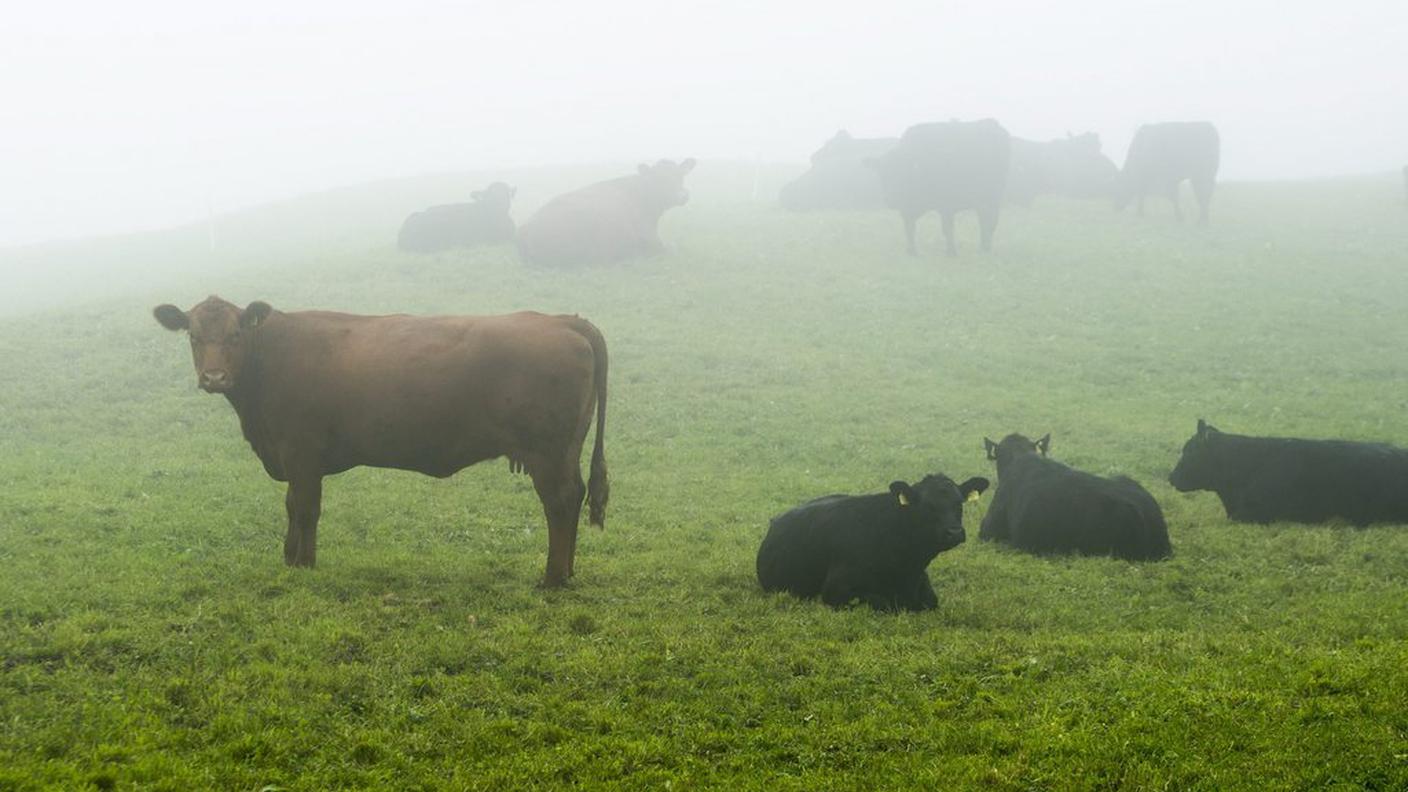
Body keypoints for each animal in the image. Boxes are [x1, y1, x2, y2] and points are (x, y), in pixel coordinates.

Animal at [515, 157, 695, 267]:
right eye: (659, 178)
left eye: (680, 175)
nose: (682, 195)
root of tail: (527, 228)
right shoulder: (653, 242)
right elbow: (672, 248)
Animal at [760, 467, 991, 611]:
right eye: (927, 506)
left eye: (959, 503)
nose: (954, 532)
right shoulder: (836, 589)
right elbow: (883, 602)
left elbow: (931, 601)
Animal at [867, 116, 1013, 256]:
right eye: (883, 175)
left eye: (902, 174)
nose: (891, 199)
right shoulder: (907, 209)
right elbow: (910, 228)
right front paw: (911, 251)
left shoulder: (946, 205)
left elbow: (947, 228)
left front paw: (951, 252)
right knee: (985, 220)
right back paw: (984, 248)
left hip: (992, 198)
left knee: (989, 221)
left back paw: (985, 249)